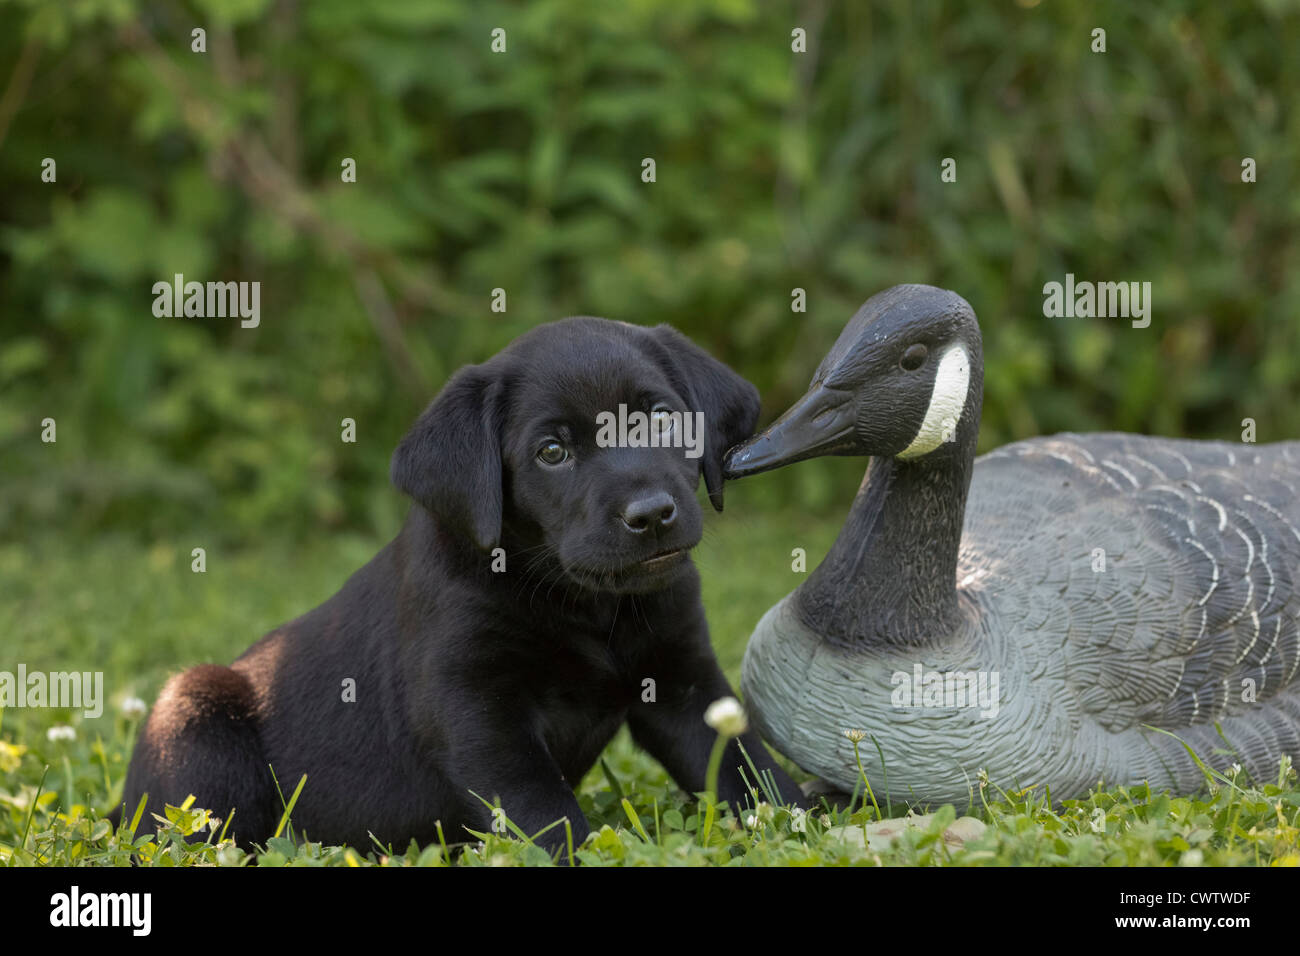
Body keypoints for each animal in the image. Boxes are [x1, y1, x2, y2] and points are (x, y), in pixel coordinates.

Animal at [122, 319, 806, 853]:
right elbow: (543, 812)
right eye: (552, 452)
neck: (585, 603)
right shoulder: (476, 709)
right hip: (195, 708)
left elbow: (746, 769)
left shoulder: (683, 680)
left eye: (663, 419)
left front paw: (798, 822)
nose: (652, 514)